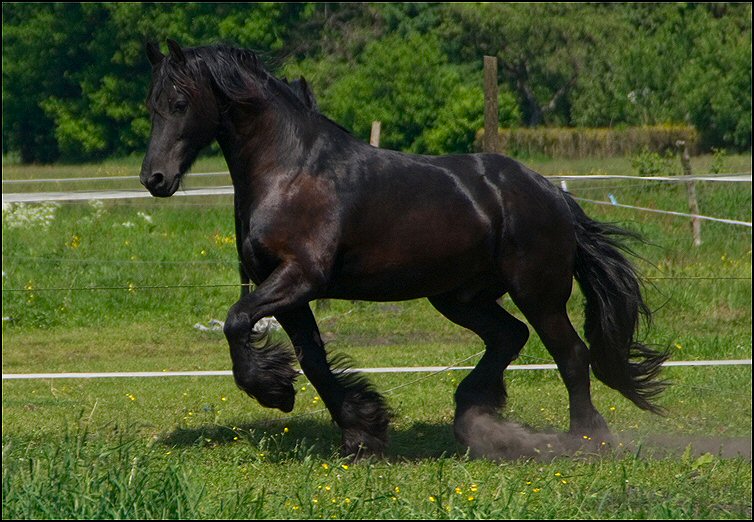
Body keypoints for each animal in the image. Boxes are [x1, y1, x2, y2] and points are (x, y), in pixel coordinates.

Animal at [140, 40, 669, 458]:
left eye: (181, 101)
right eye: (152, 105)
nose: (154, 179)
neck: (291, 172)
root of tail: (552, 194)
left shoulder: (299, 278)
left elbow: (236, 322)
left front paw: (275, 394)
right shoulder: (288, 292)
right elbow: (312, 361)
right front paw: (362, 432)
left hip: (538, 294)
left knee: (572, 355)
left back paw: (587, 440)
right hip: (459, 297)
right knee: (509, 337)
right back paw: (475, 414)